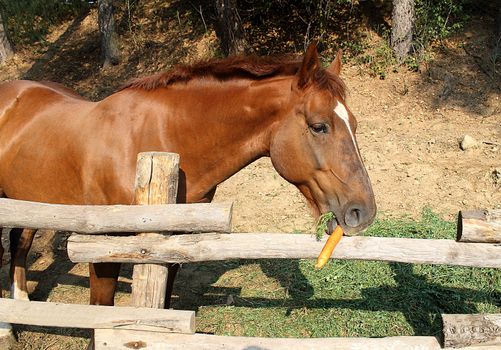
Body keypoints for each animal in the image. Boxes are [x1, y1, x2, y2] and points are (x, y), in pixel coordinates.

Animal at [0, 43, 376, 308]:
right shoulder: (102, 249)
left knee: (20, 240)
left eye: (355, 125)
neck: (159, 140)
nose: (364, 211)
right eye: (319, 126)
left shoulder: (172, 245)